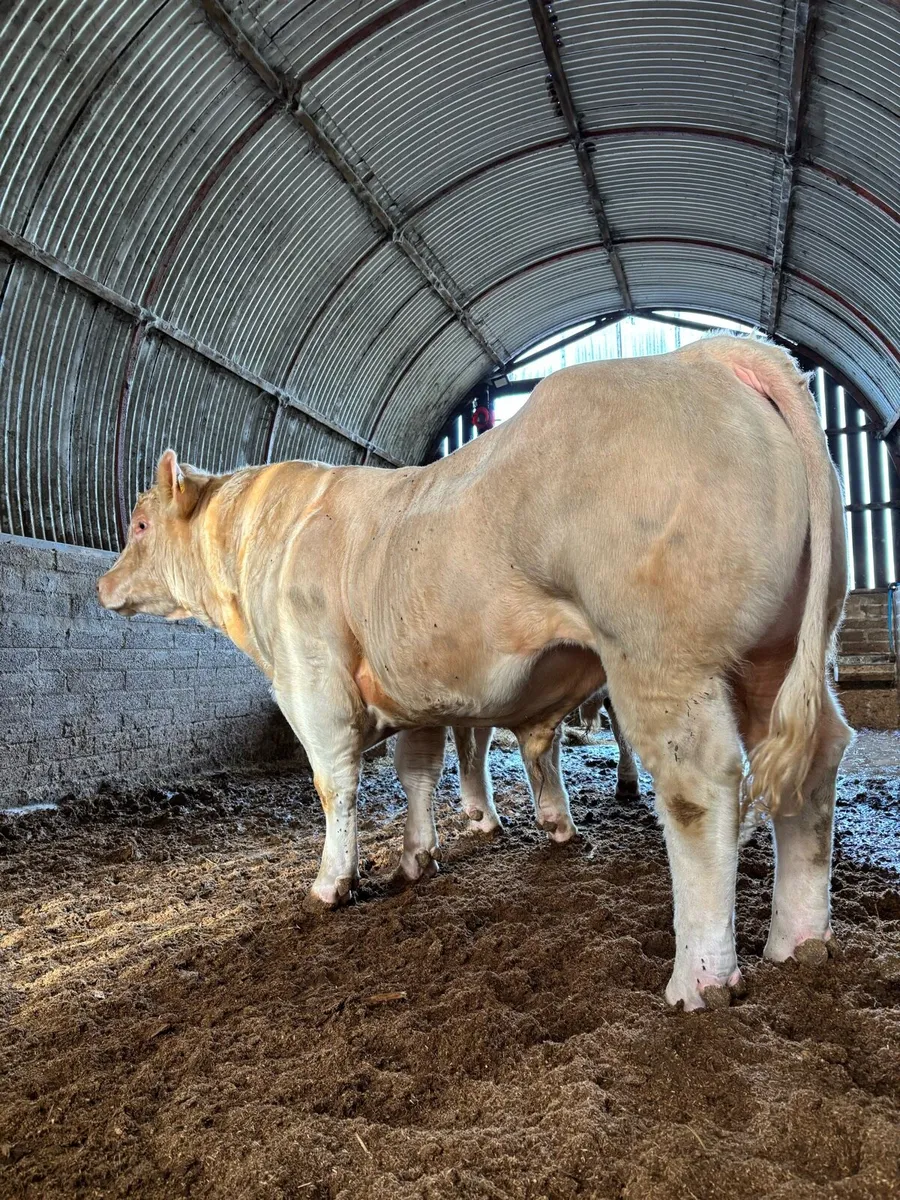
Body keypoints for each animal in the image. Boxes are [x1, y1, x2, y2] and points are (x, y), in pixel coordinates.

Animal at [97, 335, 850, 1010]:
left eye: (140, 524)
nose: (102, 585)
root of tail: (705, 354)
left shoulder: (313, 682)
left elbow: (335, 785)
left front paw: (331, 885)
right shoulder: (413, 687)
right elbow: (417, 771)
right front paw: (416, 858)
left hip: (662, 655)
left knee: (701, 788)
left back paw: (700, 978)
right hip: (777, 655)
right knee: (815, 764)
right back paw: (798, 942)